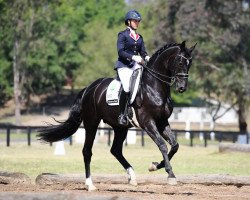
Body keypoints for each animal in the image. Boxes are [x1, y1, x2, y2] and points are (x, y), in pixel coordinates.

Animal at [38, 40, 196, 191]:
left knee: (115, 150)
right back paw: (90, 184)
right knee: (87, 151)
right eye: (180, 61)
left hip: (120, 127)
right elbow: (162, 145)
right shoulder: (148, 123)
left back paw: (132, 176)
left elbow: (174, 145)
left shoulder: (162, 122)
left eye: (190, 63)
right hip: (91, 123)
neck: (154, 87)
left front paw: (155, 165)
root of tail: (89, 88)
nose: (182, 88)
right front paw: (170, 174)